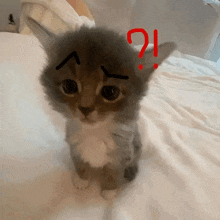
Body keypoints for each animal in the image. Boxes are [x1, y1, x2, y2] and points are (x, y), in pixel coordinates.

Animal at [24, 16, 176, 199]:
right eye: (69, 86)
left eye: (110, 92)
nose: (85, 108)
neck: (94, 133)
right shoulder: (74, 148)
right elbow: (80, 165)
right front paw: (82, 180)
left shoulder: (122, 153)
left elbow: (112, 172)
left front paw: (109, 189)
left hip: (137, 143)